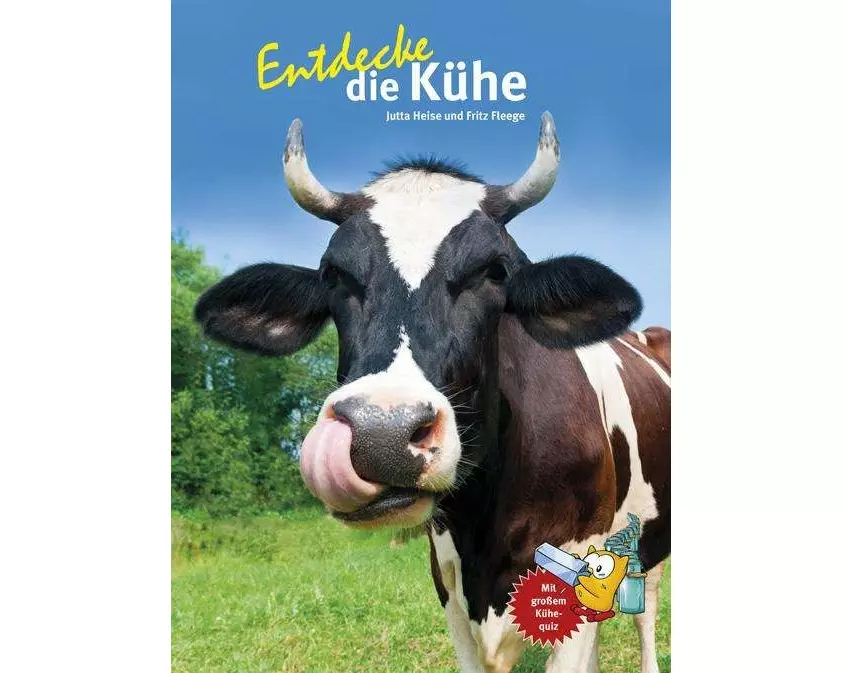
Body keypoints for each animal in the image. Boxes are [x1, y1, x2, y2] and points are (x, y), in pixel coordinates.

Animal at [195, 112, 670, 673]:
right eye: (334, 275)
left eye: (495, 271)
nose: (381, 435)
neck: (486, 529)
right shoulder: (446, 578)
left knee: (646, 608)